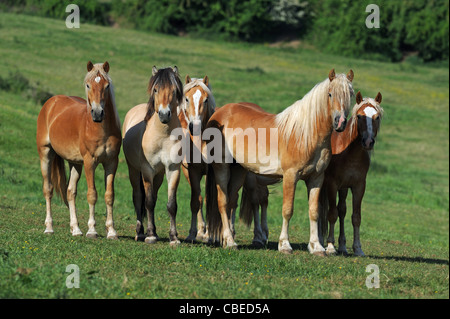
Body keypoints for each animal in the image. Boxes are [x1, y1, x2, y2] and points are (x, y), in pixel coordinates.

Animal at [36, 61, 121, 239]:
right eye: (88, 85)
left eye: (107, 86)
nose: (97, 113)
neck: (100, 129)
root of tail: (51, 102)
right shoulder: (90, 162)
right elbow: (92, 194)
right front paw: (92, 230)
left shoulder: (111, 162)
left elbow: (109, 195)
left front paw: (111, 231)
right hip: (45, 154)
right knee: (48, 189)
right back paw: (49, 227)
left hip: (75, 163)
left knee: (70, 192)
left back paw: (75, 229)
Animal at [122, 66, 184, 246]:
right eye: (156, 89)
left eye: (174, 90)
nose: (164, 115)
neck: (163, 136)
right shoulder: (147, 170)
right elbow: (148, 202)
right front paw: (150, 236)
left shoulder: (172, 170)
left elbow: (171, 205)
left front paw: (174, 237)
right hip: (134, 170)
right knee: (138, 198)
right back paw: (141, 233)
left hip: (159, 175)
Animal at [207, 69, 356, 255]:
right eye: (330, 94)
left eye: (350, 94)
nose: (340, 122)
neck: (305, 134)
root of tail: (219, 112)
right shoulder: (290, 176)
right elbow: (287, 210)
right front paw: (284, 245)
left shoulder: (316, 178)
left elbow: (314, 211)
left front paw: (316, 247)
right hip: (221, 166)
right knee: (223, 201)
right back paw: (229, 241)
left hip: (239, 170)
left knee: (231, 201)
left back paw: (228, 240)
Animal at [320, 91, 384, 256]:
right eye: (359, 116)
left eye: (377, 117)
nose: (368, 142)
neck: (349, 152)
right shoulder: (332, 184)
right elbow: (331, 214)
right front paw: (330, 246)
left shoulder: (358, 186)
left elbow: (356, 217)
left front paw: (357, 248)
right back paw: (322, 242)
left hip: (343, 188)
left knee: (342, 210)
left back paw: (342, 246)